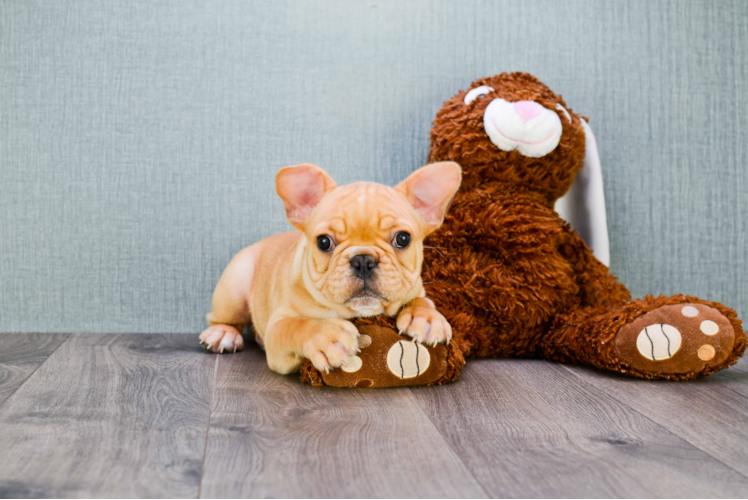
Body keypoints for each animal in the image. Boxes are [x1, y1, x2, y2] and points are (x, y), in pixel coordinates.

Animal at [199, 162, 462, 374]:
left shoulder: (416, 288)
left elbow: (421, 299)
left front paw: (427, 318)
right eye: (324, 242)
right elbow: (296, 326)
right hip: (235, 282)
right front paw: (327, 337)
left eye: (403, 239)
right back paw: (222, 334)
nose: (363, 260)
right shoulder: (277, 328)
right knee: (223, 318)